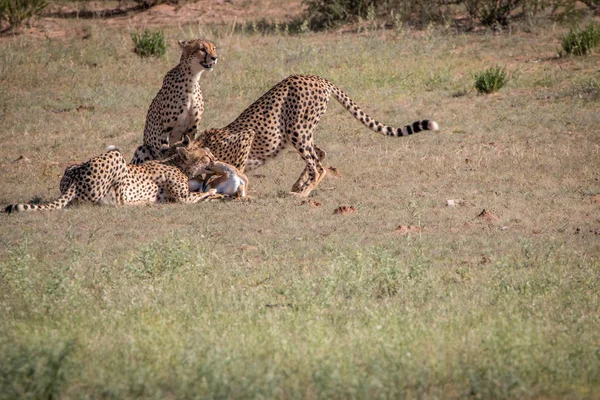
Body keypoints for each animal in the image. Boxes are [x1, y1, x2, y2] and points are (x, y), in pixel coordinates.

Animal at [195, 74, 438, 197]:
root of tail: (316, 77)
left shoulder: (245, 138)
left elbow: (234, 170)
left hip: (297, 130)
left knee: (318, 166)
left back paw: (302, 193)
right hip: (303, 132)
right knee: (320, 154)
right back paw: (298, 185)